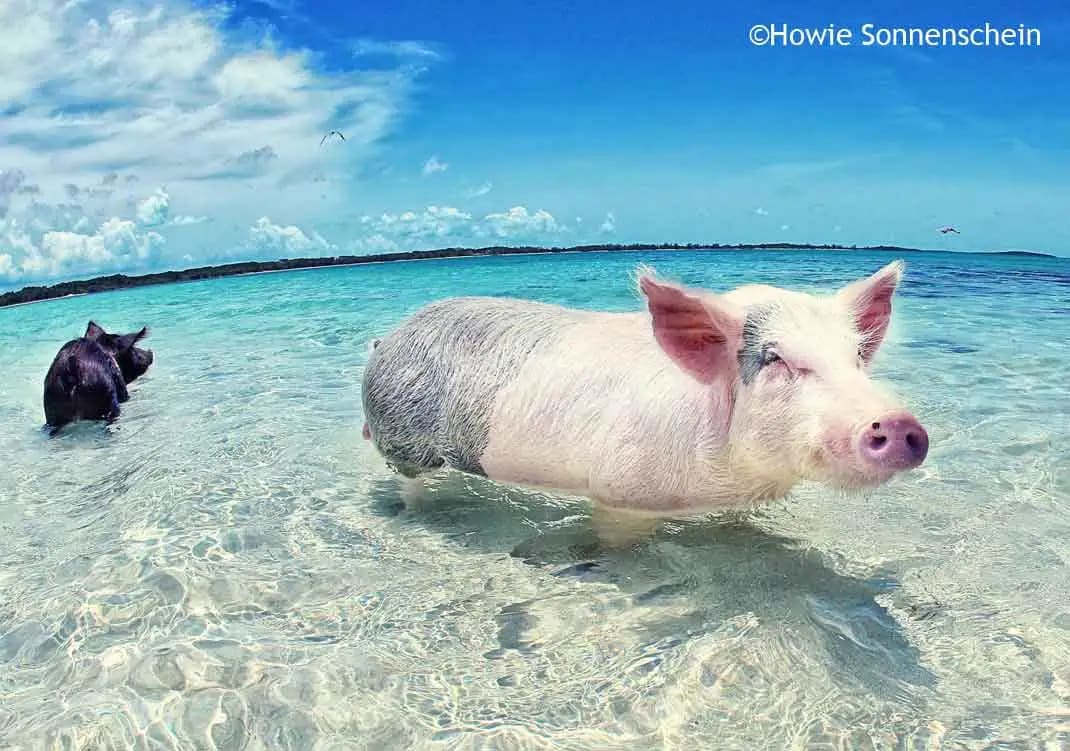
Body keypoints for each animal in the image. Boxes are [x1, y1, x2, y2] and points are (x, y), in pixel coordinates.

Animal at [361, 261, 928, 513]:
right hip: (402, 438)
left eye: (856, 358)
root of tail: (387, 339)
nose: (902, 424)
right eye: (775, 360)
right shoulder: (620, 490)